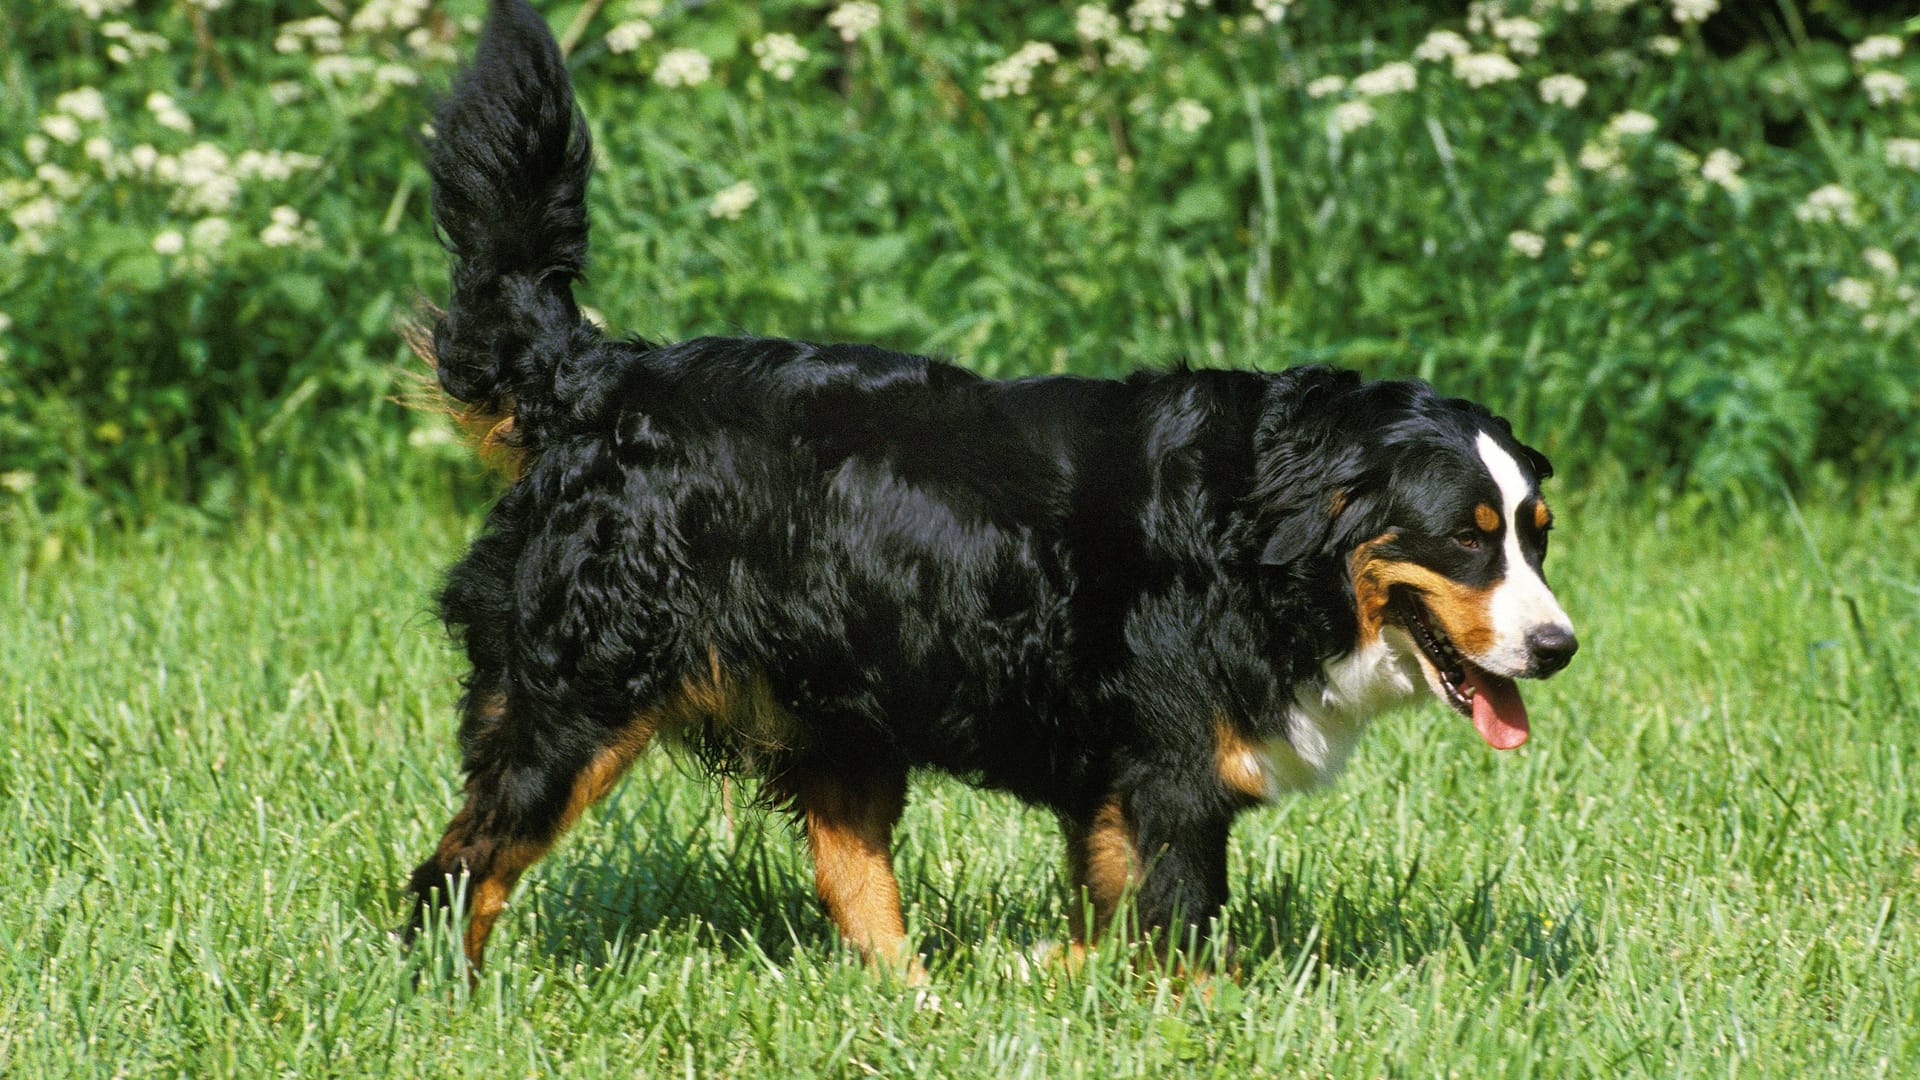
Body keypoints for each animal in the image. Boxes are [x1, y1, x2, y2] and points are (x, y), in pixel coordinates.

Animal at [405, 0, 1574, 976]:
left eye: (1537, 532)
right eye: (1466, 537)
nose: (1560, 647)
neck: (1261, 530)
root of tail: (599, 378)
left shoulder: (1122, 788)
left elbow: (1121, 932)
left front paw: (1054, 978)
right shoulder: (1169, 772)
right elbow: (1181, 936)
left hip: (838, 710)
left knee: (854, 877)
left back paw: (918, 1002)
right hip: (577, 701)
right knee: (459, 870)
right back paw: (448, 993)